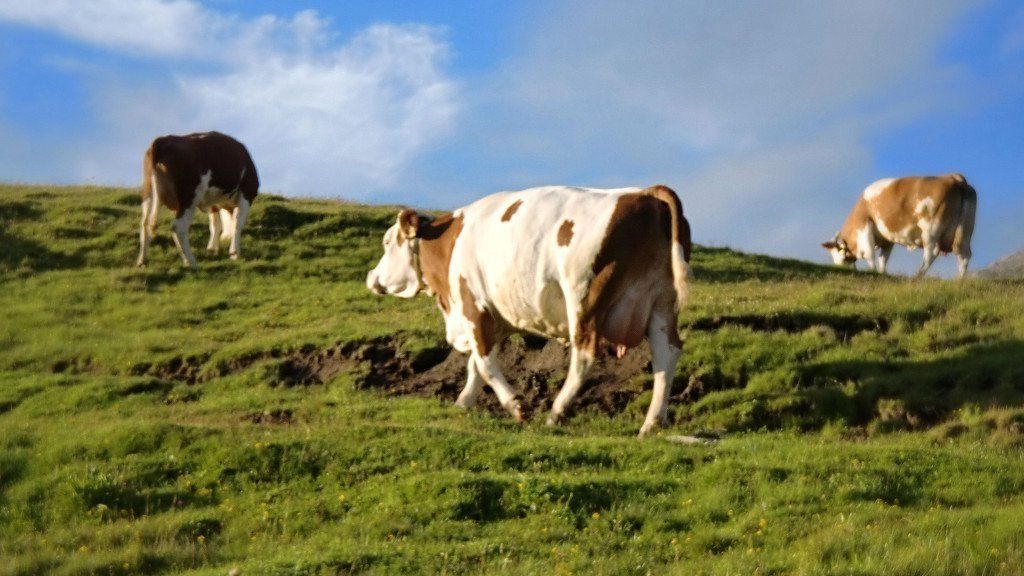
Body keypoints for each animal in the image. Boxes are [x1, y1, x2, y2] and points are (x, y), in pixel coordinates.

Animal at [137, 131, 260, 268]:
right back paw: (191, 262)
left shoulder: (213, 201)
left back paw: (142, 260)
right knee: (178, 227)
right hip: (189, 197)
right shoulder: (247, 194)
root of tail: (162, 140)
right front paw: (234, 252)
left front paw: (212, 248)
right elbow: (238, 224)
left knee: (145, 223)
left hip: (149, 192)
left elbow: (215, 224)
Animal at [364, 183, 692, 434]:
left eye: (387, 242)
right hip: (661, 302)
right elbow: (477, 364)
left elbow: (484, 363)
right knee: (666, 354)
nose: (371, 278)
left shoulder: (474, 305)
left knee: (585, 354)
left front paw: (516, 405)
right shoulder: (496, 318)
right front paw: (463, 402)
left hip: (584, 296)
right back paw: (651, 424)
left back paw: (556, 412)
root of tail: (645, 193)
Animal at [819, 172, 978, 276]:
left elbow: (870, 255)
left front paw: (873, 272)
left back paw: (917, 275)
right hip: (965, 230)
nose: (840, 268)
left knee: (931, 253)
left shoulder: (865, 226)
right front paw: (882, 273)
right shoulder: (887, 240)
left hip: (931, 229)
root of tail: (954, 177)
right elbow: (883, 259)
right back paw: (959, 281)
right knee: (964, 255)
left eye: (834, 253)